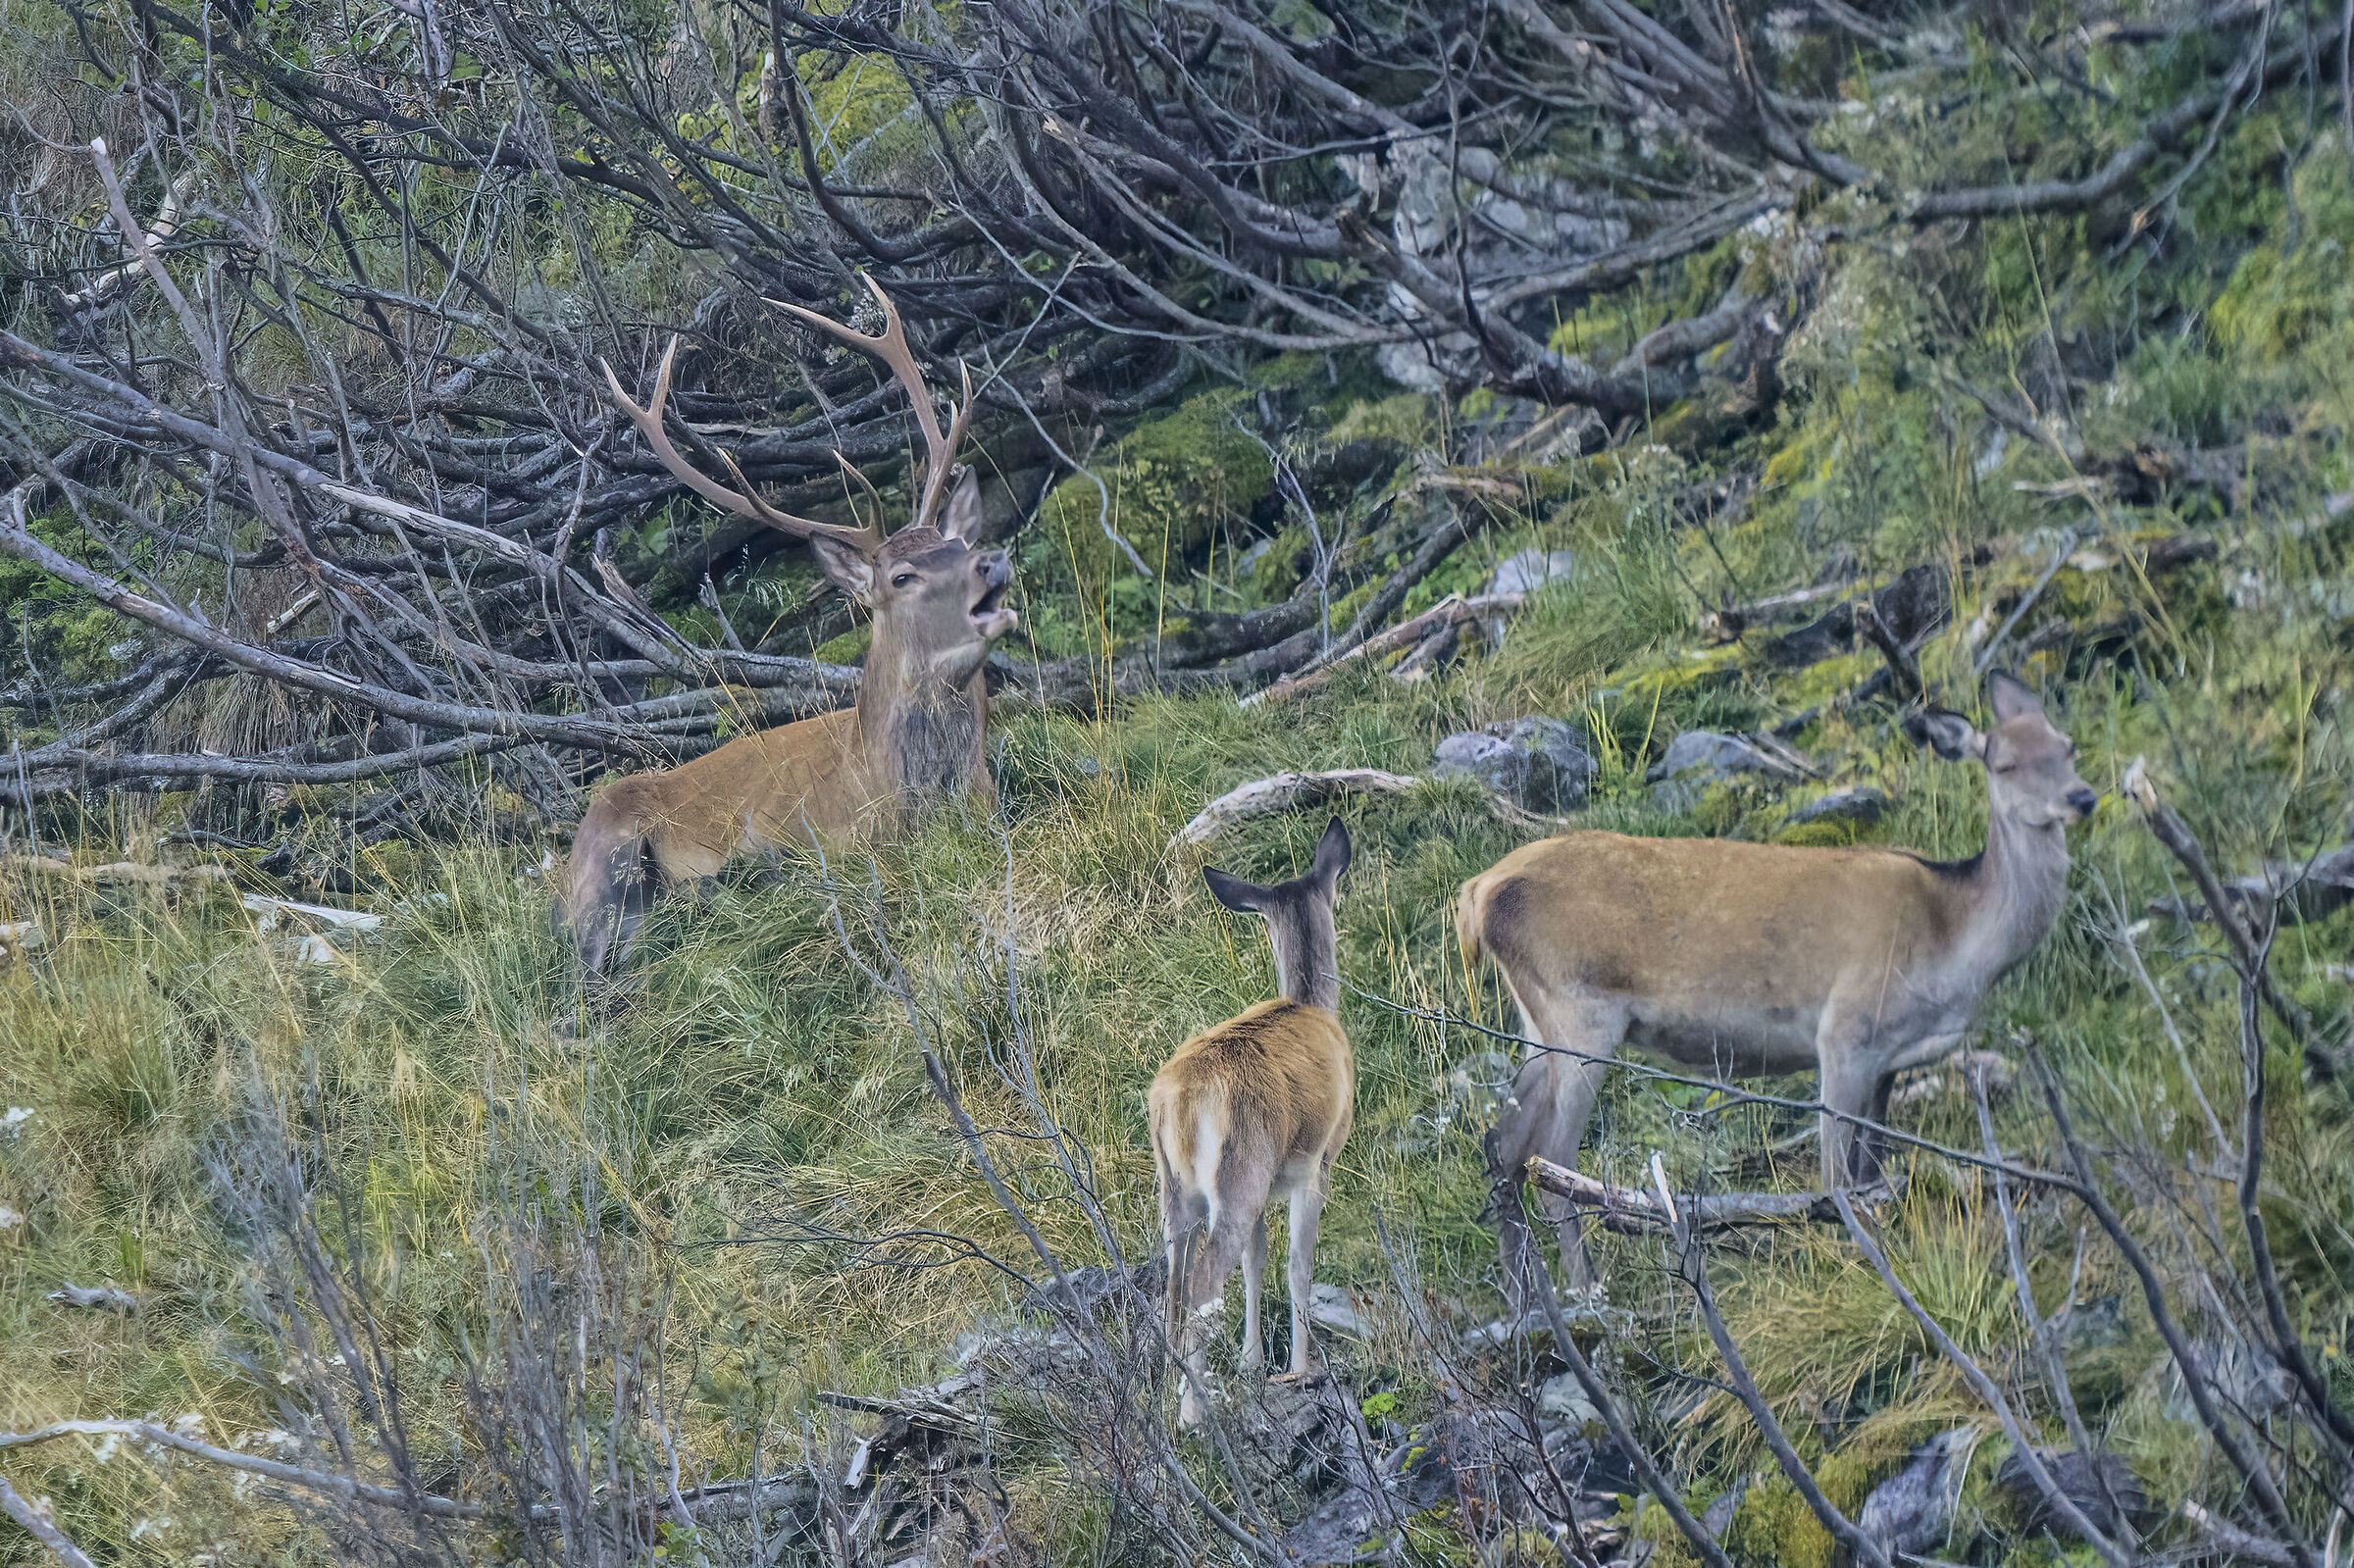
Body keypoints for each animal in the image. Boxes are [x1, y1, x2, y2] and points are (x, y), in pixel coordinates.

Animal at [557, 279, 1017, 978]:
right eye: (901, 575)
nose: (990, 561)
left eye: (957, 542)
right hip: (606, 869)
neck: (892, 787)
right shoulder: (844, 844)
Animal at [1150, 818, 1355, 1430]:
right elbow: (1297, 1264)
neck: (1310, 1005)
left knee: (1172, 1289)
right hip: (1238, 1173)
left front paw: (1251, 1361)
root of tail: (1179, 1102)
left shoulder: (1266, 1187)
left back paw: (1172, 1390)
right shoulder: (1317, 1163)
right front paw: (1300, 1366)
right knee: (1200, 1287)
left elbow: (1256, 1263)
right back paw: (1193, 1413)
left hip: (1178, 1191)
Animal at [1457, 672, 2096, 1299]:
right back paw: (1588, 1293)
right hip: (1580, 1014)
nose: (2082, 797)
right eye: (2005, 763)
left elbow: (1875, 1174)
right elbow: (1838, 1181)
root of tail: (1480, 890)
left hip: (1538, 1022)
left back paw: (1521, 1297)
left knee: (1503, 1144)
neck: (1956, 943)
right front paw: (1862, 1271)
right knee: (1550, 1159)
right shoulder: (1845, 1031)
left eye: (2067, 747)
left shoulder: (1891, 1061)